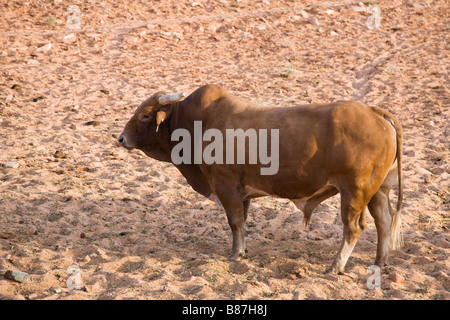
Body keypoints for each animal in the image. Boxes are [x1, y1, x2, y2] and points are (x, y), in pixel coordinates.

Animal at [118, 84, 402, 274]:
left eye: (145, 115)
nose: (121, 138)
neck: (198, 123)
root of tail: (374, 113)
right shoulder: (241, 191)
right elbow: (241, 222)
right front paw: (241, 250)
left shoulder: (225, 184)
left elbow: (234, 221)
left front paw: (234, 254)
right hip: (377, 190)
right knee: (384, 221)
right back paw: (379, 262)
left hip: (355, 191)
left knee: (353, 228)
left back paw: (335, 266)